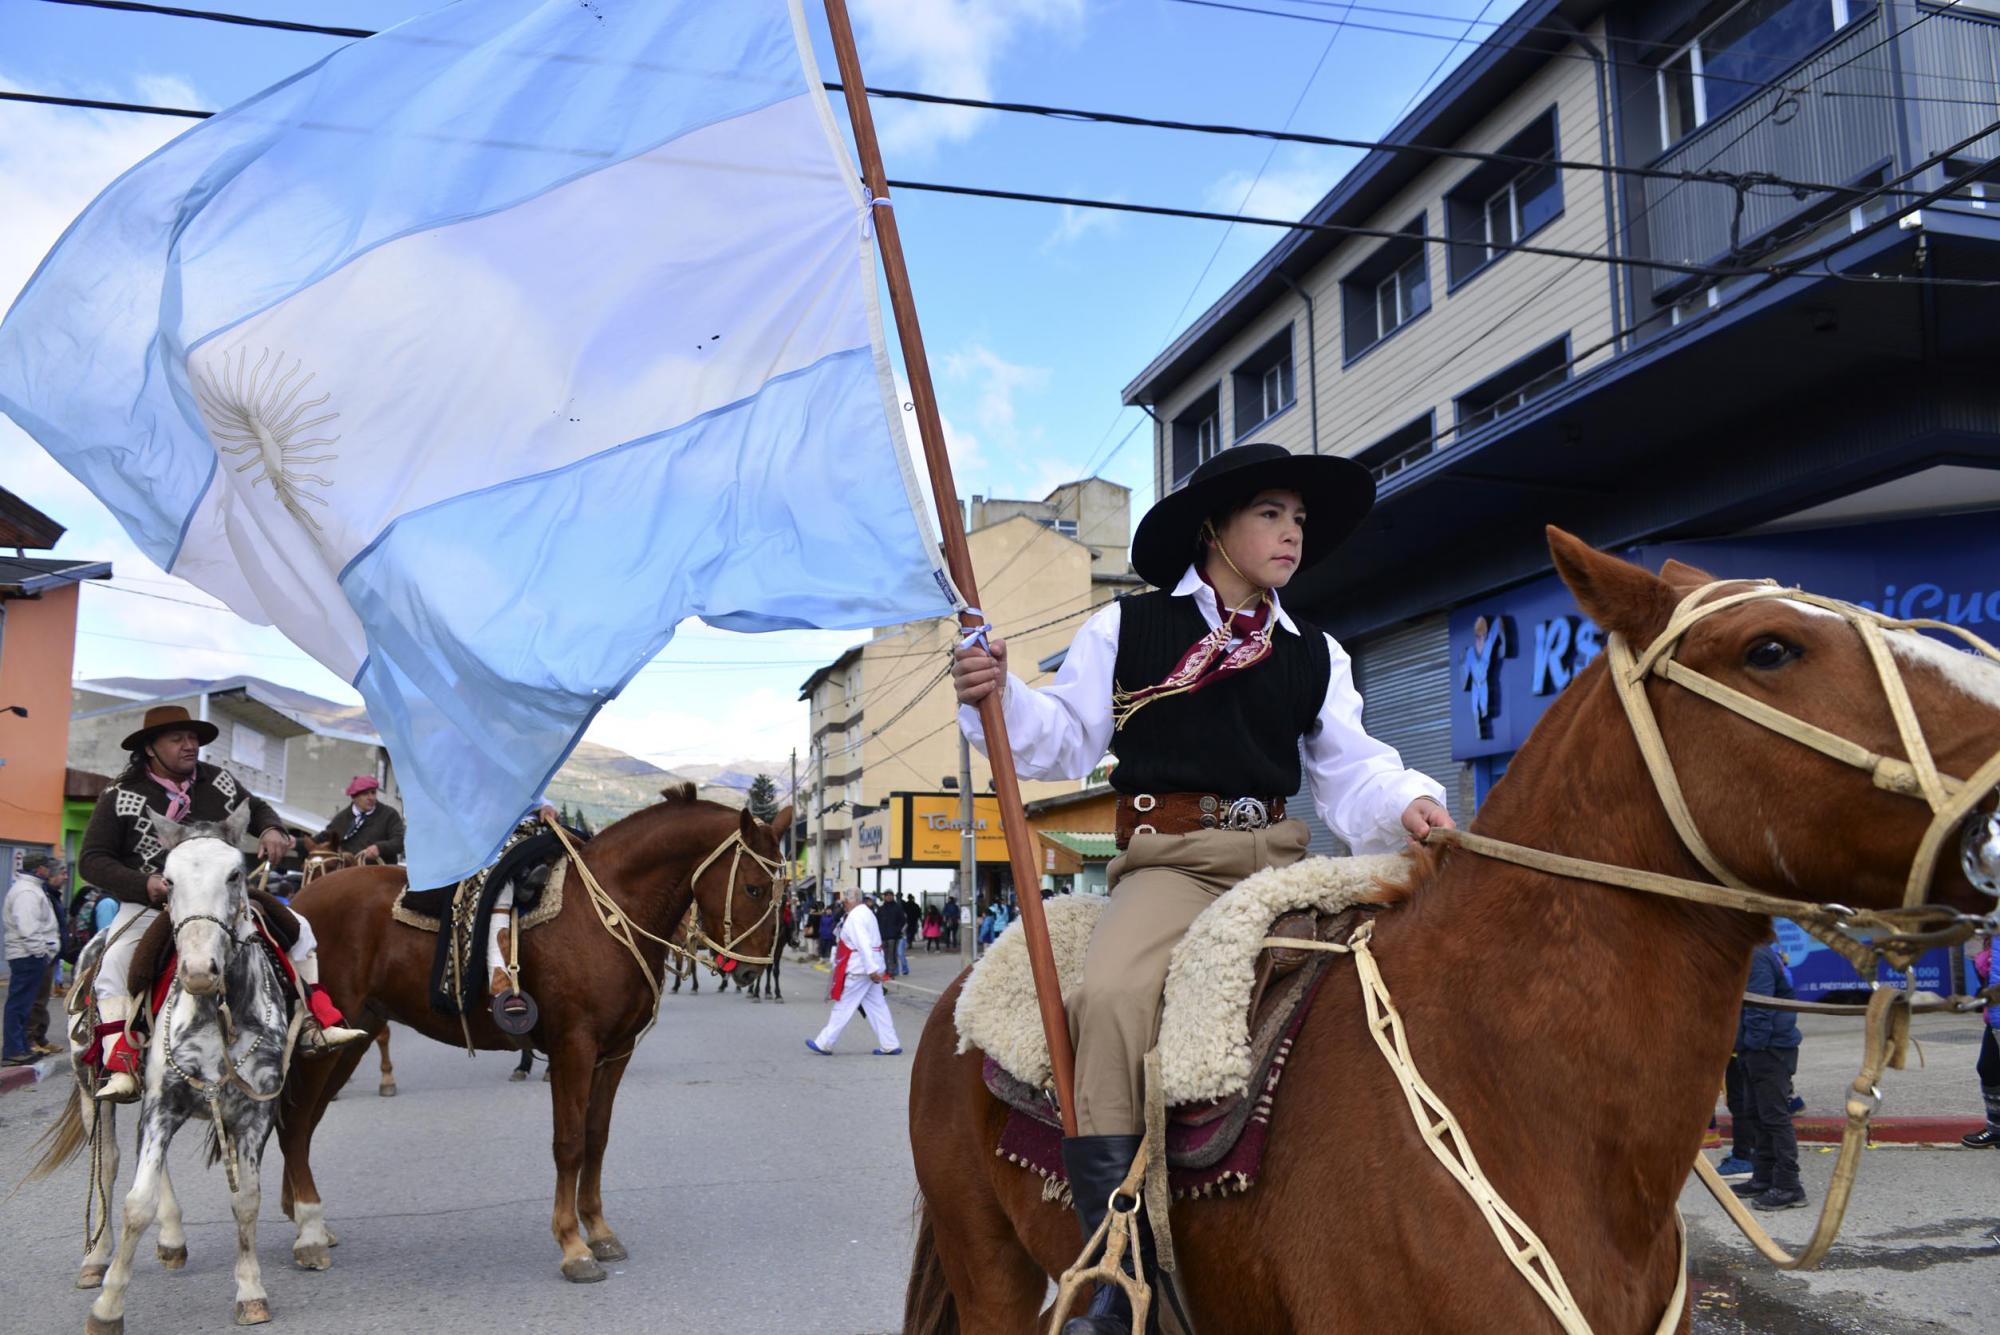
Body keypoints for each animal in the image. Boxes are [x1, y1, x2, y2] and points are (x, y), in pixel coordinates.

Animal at [276, 783, 788, 1279]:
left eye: (780, 893)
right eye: (755, 888)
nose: (750, 970)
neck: (605, 911)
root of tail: (297, 904)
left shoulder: (616, 1052)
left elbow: (597, 1137)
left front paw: (599, 1230)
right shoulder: (573, 1047)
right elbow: (570, 1143)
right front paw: (573, 1246)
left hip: (352, 1038)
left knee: (304, 1120)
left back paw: (304, 1219)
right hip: (323, 1044)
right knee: (296, 1123)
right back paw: (309, 1233)